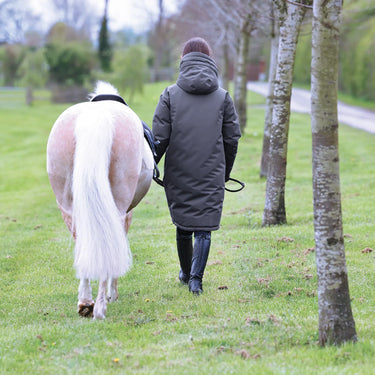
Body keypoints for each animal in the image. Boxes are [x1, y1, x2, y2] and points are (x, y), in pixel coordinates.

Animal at [46, 81, 154, 320]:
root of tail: (95, 118)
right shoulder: (128, 213)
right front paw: (114, 294)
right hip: (118, 205)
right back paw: (101, 307)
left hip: (67, 207)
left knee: (84, 242)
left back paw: (86, 302)